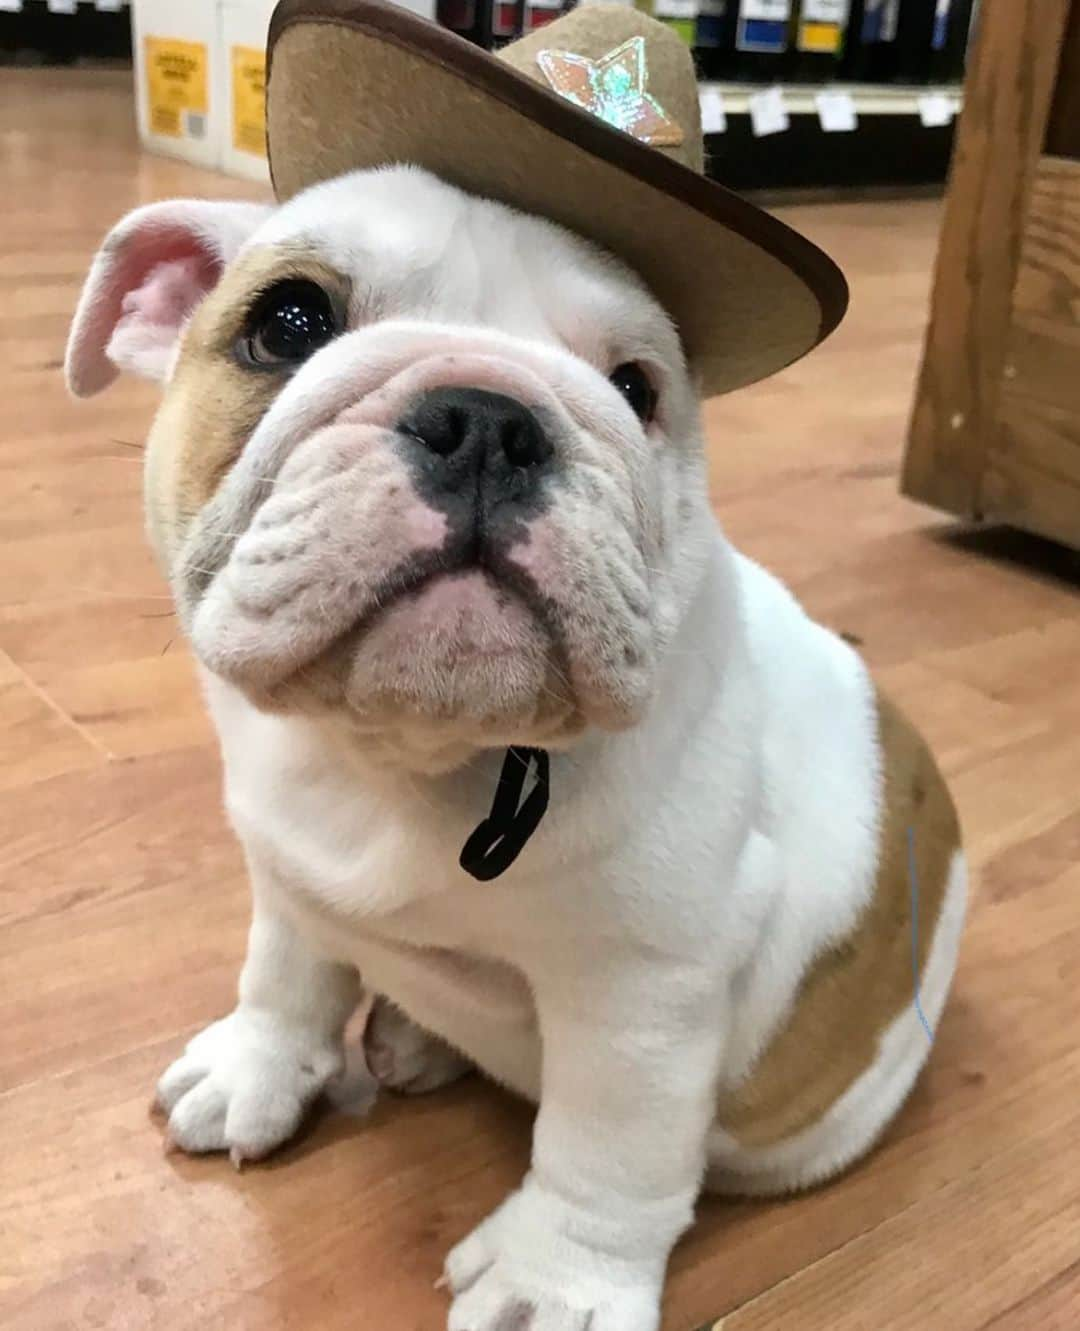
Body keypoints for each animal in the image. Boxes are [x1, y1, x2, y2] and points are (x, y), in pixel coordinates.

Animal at [65, 163, 964, 1331]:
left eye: (636, 387)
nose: (489, 418)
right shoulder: (289, 871)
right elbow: (286, 973)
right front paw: (256, 1067)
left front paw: (554, 1283)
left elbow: (607, 1147)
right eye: (287, 322)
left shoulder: (643, 992)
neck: (408, 751)